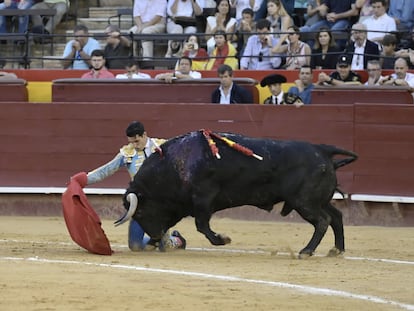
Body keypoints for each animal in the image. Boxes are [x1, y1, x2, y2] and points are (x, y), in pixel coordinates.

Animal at [115, 130, 358, 258]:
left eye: (140, 212)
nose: (155, 236)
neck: (174, 165)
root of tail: (322, 149)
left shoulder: (203, 199)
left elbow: (202, 225)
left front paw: (222, 239)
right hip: (318, 199)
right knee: (336, 216)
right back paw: (337, 249)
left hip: (304, 201)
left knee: (323, 221)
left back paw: (306, 251)